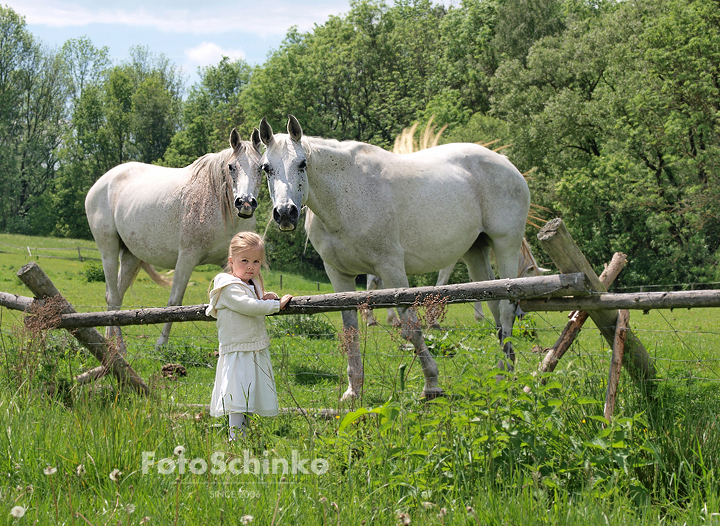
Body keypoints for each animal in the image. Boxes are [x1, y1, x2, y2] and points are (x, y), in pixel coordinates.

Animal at [86, 128, 262, 350]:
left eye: (262, 167)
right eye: (231, 167)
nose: (245, 203)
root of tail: (101, 182)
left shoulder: (229, 263)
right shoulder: (187, 258)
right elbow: (174, 302)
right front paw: (161, 345)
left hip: (130, 256)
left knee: (116, 297)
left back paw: (112, 343)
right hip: (108, 250)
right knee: (113, 295)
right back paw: (121, 347)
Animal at [258, 117, 528, 402]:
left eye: (302, 163)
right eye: (266, 167)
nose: (285, 213)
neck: (346, 196)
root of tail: (505, 162)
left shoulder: (391, 269)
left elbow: (411, 328)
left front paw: (432, 384)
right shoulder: (338, 275)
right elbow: (350, 330)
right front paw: (353, 390)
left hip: (505, 247)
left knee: (507, 310)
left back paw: (503, 375)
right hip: (475, 254)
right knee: (496, 308)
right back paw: (506, 368)